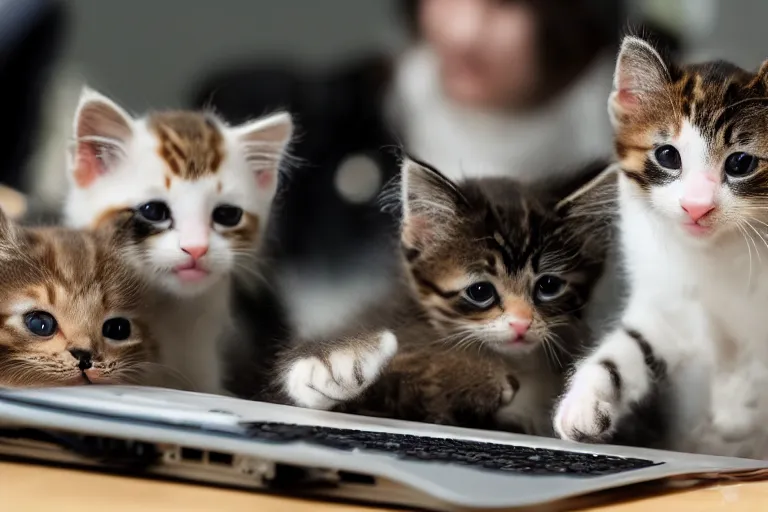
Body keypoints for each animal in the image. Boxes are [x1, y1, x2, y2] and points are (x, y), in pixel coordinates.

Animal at [556, 36, 768, 458]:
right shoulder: (666, 302)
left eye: (740, 163)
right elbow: (627, 348)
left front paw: (735, 406)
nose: (697, 206)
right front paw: (585, 401)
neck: (714, 254)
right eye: (668, 156)